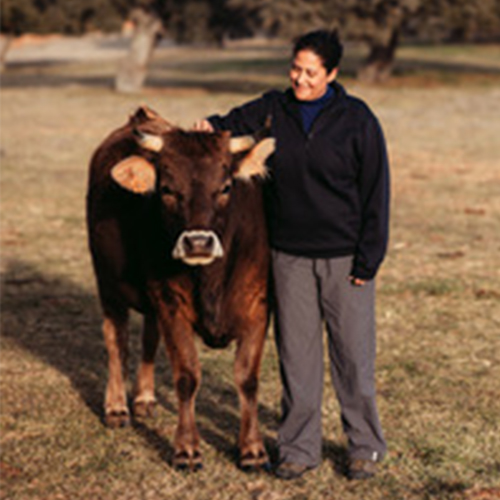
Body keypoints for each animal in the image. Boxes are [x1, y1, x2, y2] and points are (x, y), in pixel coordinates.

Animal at [86, 106, 274, 472]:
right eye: (167, 189)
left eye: (225, 187)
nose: (197, 242)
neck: (211, 278)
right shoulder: (171, 302)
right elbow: (187, 376)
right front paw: (187, 449)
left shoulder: (258, 306)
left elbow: (247, 379)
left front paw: (252, 449)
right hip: (108, 283)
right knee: (116, 341)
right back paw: (117, 406)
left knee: (148, 339)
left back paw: (144, 398)